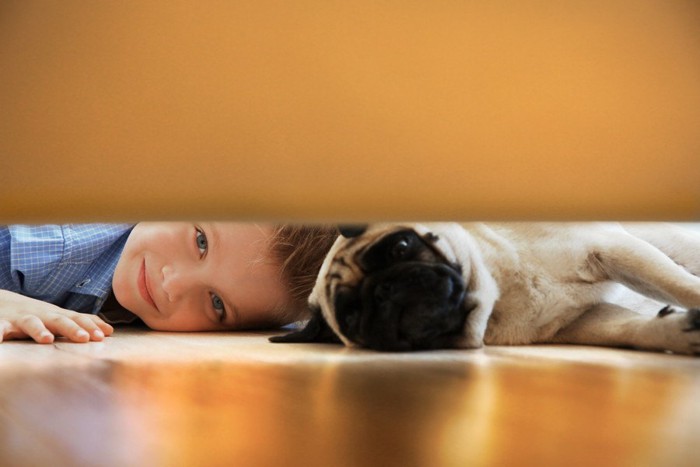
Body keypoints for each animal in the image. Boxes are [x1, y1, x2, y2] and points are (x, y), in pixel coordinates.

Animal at [270, 223, 700, 354]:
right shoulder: (584, 320)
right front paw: (674, 331)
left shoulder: (611, 248)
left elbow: (679, 285)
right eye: (352, 315)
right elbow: (630, 328)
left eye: (401, 247)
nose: (384, 291)